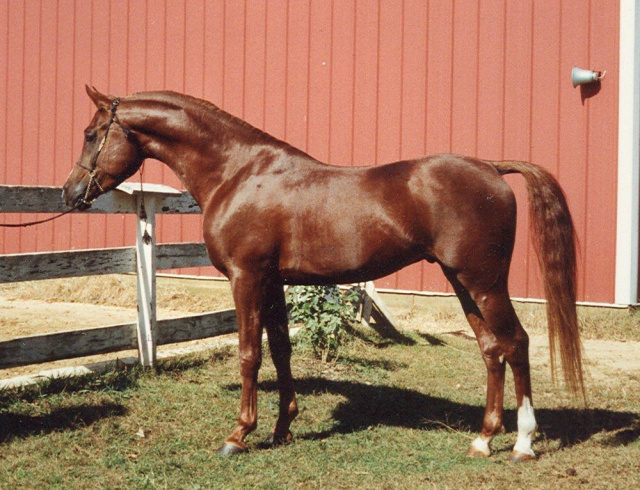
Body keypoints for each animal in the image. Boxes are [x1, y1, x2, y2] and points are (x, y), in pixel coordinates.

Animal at [63, 86, 584, 462]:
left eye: (90, 133)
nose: (70, 193)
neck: (239, 172)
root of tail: (492, 168)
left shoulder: (246, 278)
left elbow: (250, 354)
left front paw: (239, 435)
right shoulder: (273, 281)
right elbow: (281, 352)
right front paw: (282, 428)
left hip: (484, 282)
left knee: (516, 344)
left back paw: (522, 444)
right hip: (464, 284)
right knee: (492, 349)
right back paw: (483, 439)